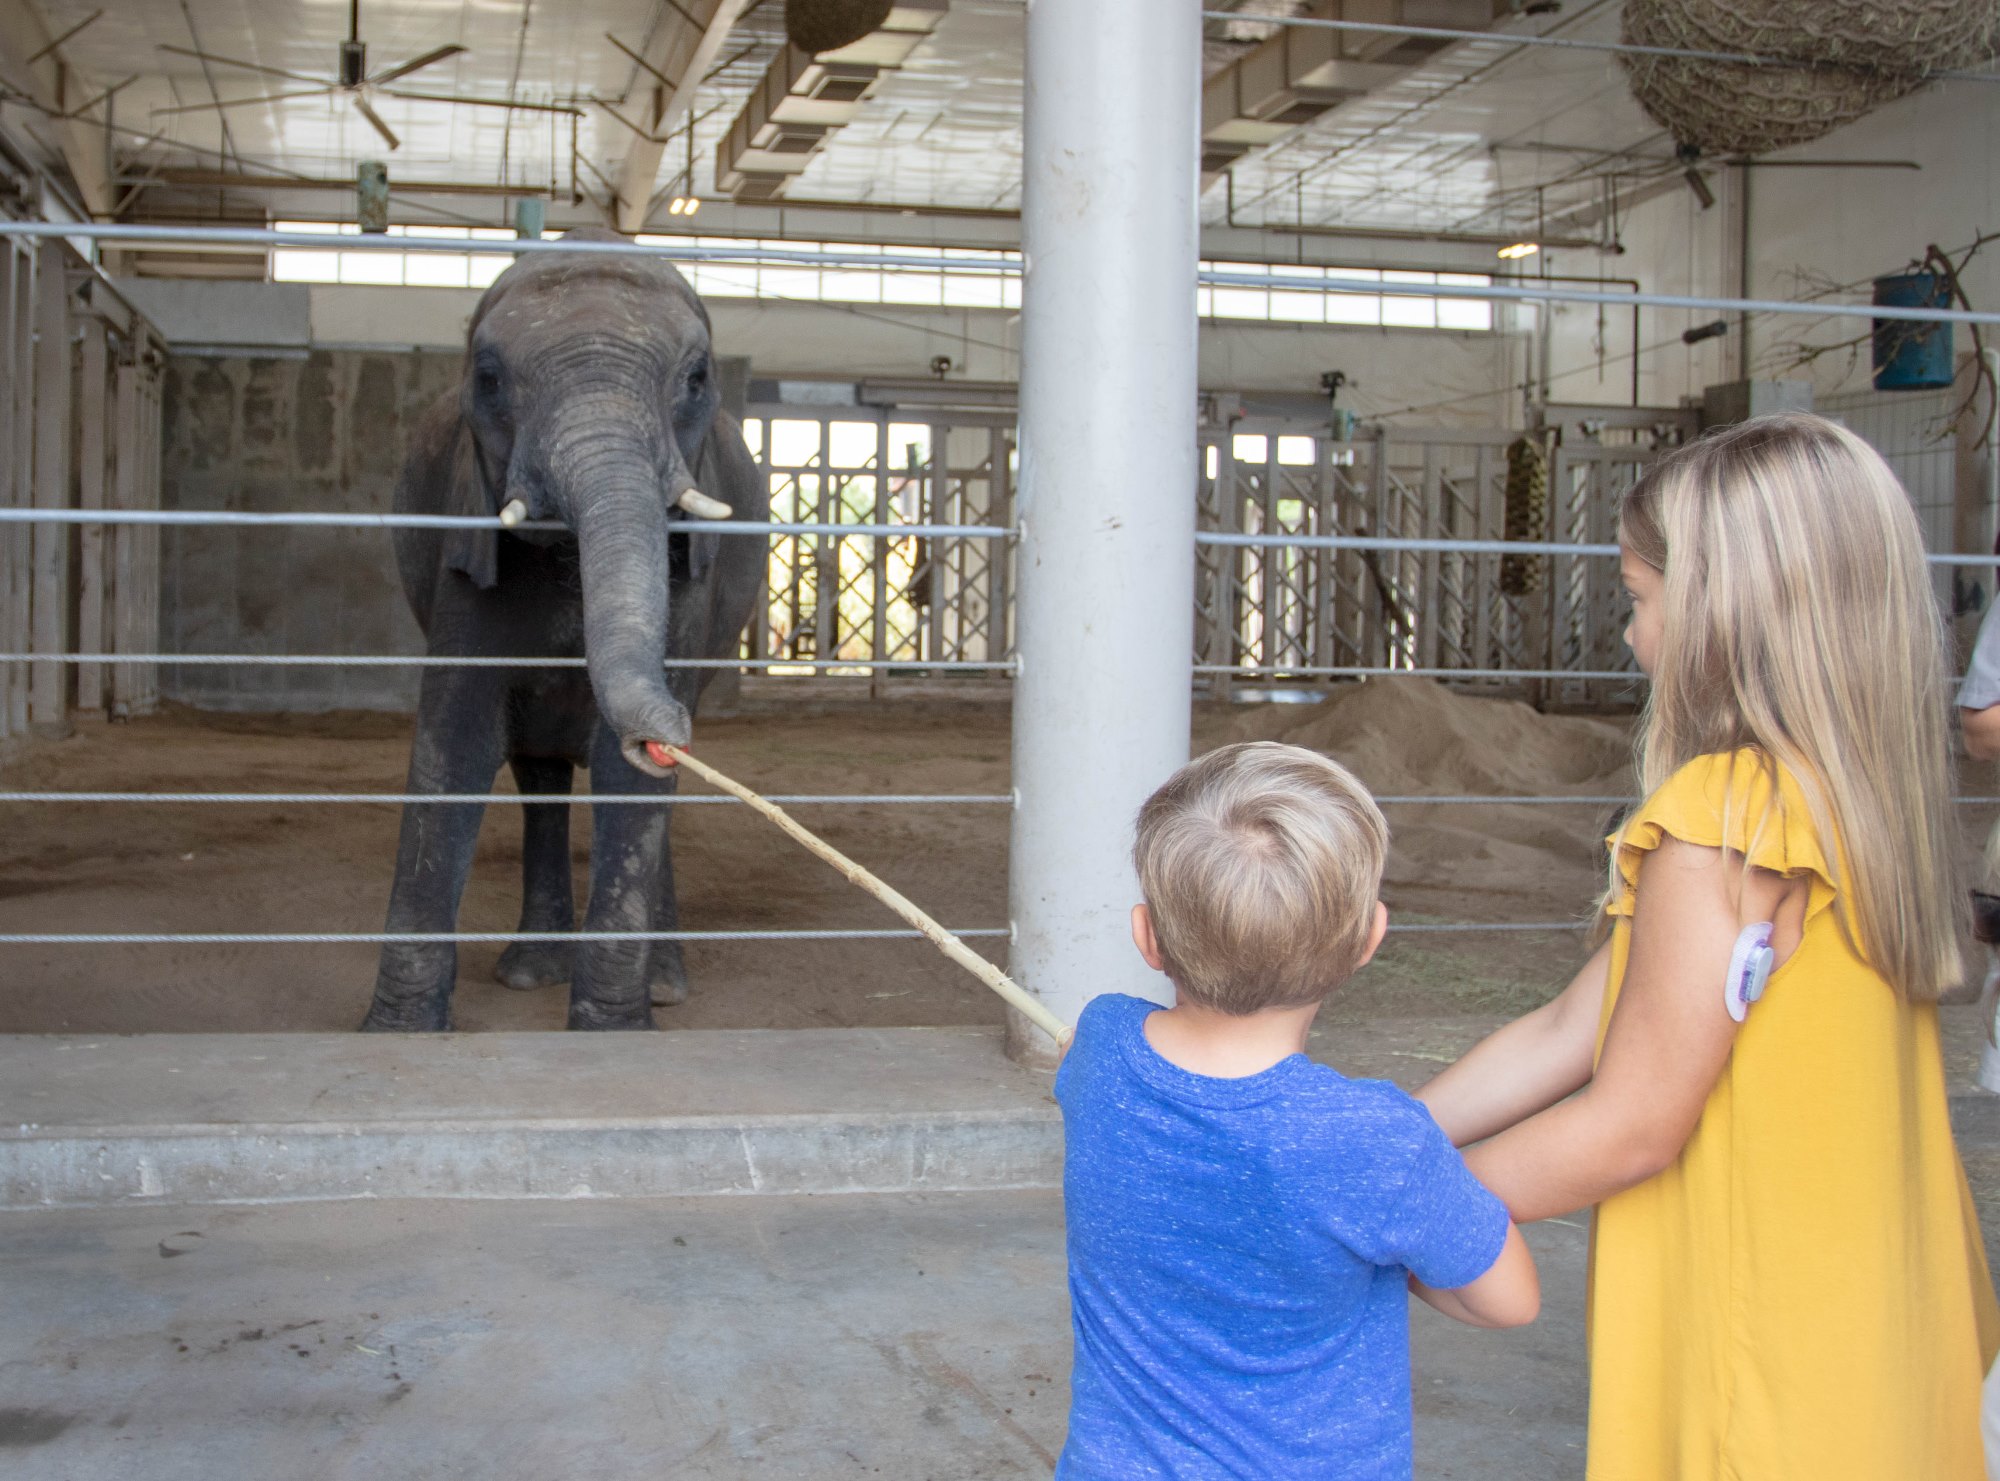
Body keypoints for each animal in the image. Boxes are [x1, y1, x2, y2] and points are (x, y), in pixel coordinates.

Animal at [360, 231, 764, 1032]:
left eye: (697, 378)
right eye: (487, 378)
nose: (662, 732)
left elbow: (626, 784)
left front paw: (612, 1035)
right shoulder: (467, 540)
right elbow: (451, 748)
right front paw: (397, 1035)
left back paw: (663, 986)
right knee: (539, 779)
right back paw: (529, 973)